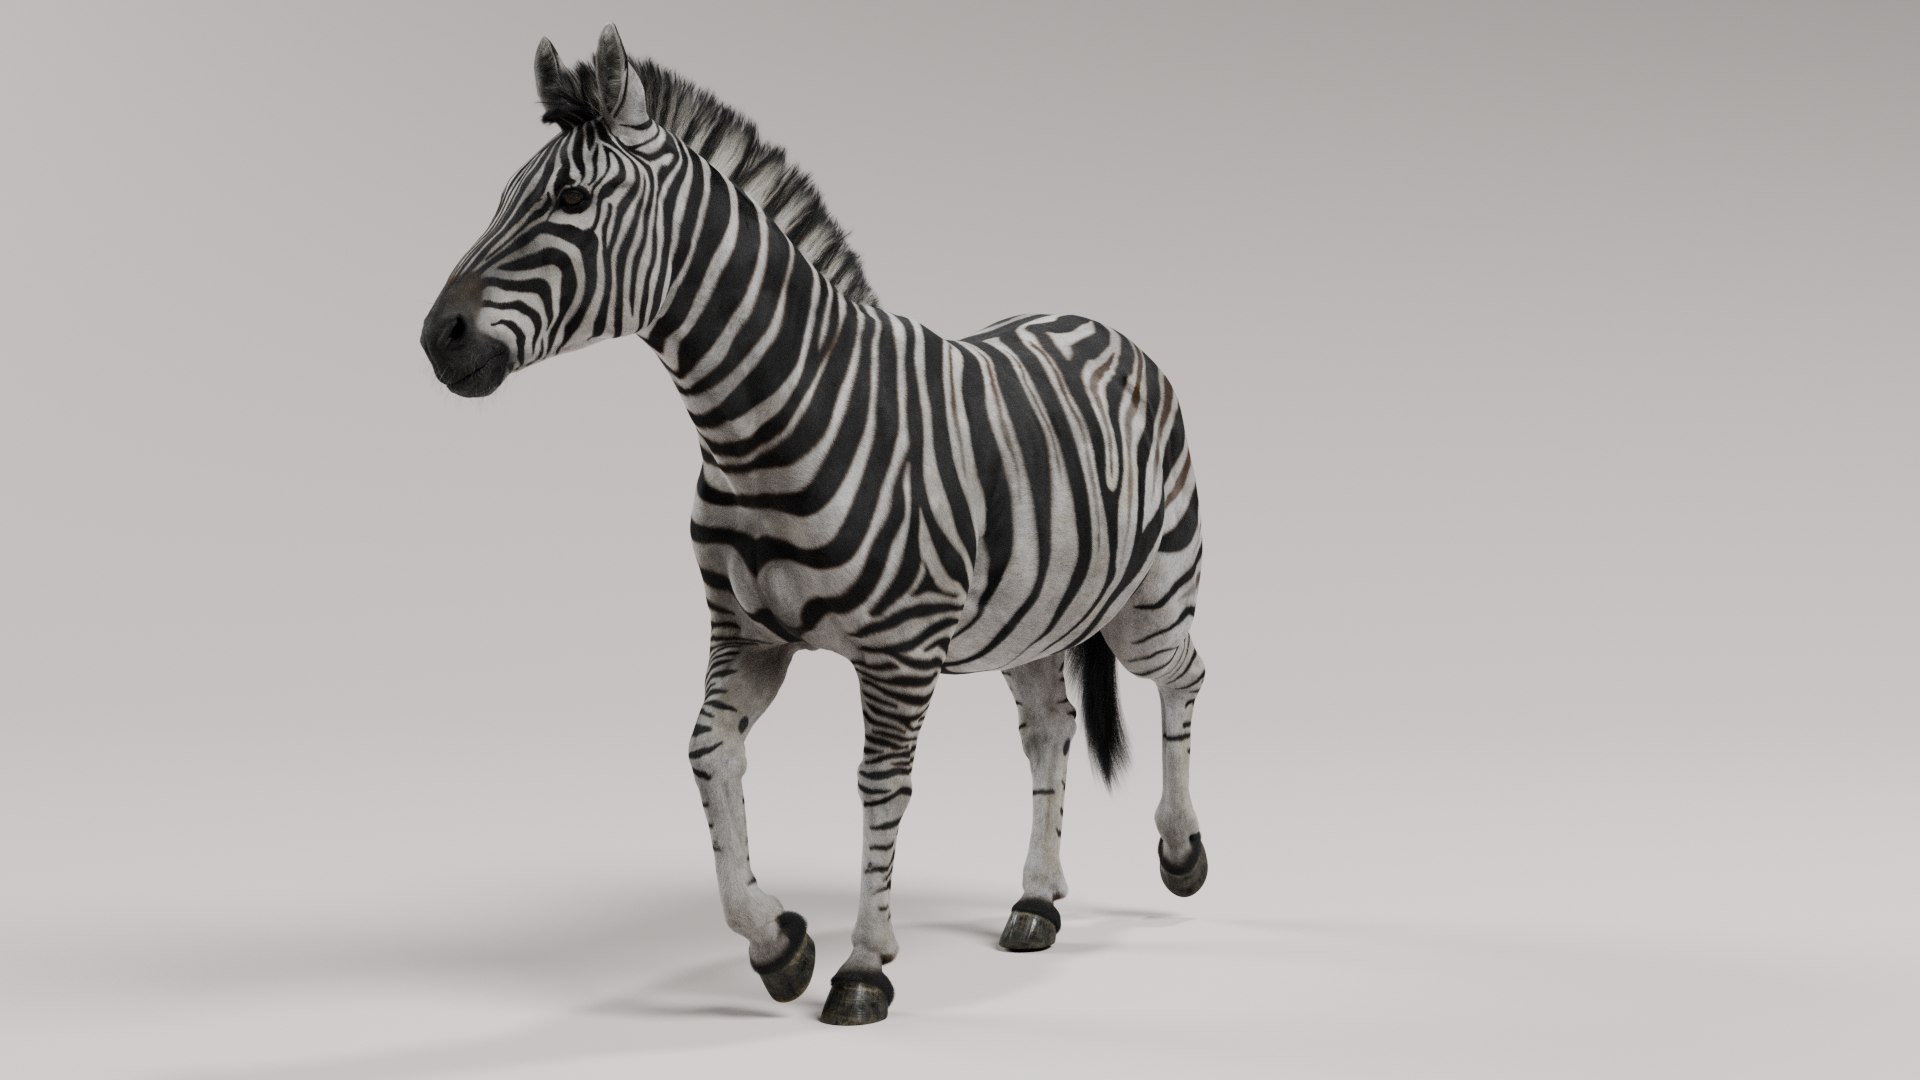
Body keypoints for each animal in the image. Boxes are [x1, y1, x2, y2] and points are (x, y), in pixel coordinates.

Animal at [420, 26, 1208, 1026]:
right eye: (503, 197)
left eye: (570, 200)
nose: (435, 338)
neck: (758, 426)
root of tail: (1096, 323)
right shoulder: (746, 632)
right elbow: (708, 754)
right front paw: (779, 944)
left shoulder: (900, 654)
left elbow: (879, 785)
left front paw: (864, 965)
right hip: (1030, 617)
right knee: (1050, 725)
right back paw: (1036, 900)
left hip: (1152, 595)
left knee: (1183, 676)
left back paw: (1181, 852)